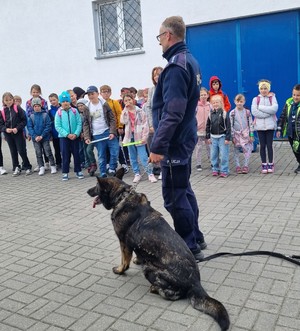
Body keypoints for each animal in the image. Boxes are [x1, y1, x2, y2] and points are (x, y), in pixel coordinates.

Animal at [86, 170, 230, 330]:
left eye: (96, 186)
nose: (87, 191)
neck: (122, 196)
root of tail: (196, 283)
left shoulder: (123, 242)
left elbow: (124, 261)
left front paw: (120, 270)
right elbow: (138, 253)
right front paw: (137, 259)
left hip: (149, 269)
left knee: (172, 294)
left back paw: (155, 288)